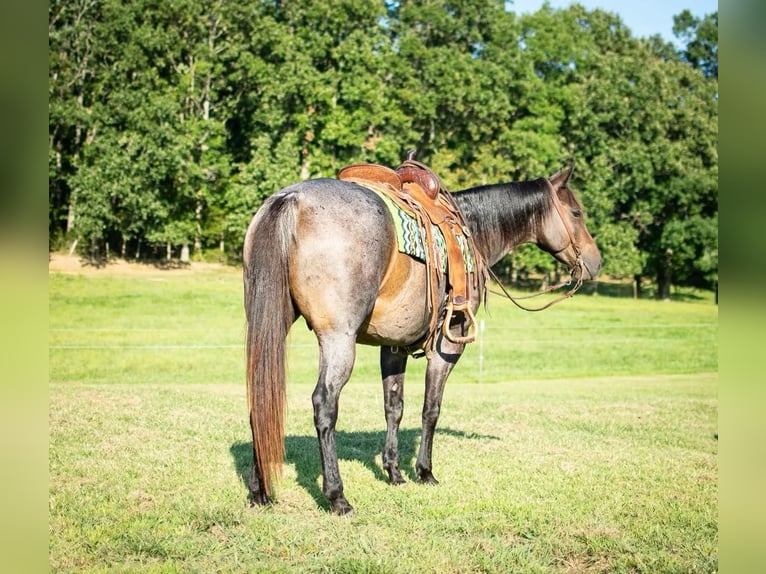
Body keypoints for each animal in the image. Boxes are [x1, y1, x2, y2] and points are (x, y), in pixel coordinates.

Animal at [243, 163, 604, 516]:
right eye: (576, 212)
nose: (595, 262)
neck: (472, 231)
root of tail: (291, 199)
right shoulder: (448, 346)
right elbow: (431, 408)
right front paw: (425, 471)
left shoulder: (392, 346)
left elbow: (394, 407)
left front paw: (394, 472)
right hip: (338, 339)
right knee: (324, 404)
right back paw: (337, 496)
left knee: (260, 398)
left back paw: (259, 491)